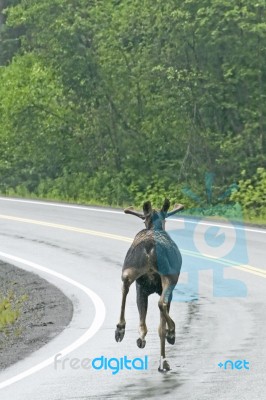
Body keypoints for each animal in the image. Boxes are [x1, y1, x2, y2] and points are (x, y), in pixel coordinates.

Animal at [115, 200, 184, 372]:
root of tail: (150, 247)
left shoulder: (141, 289)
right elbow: (160, 327)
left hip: (129, 269)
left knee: (124, 286)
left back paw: (121, 329)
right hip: (170, 277)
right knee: (161, 303)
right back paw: (172, 332)